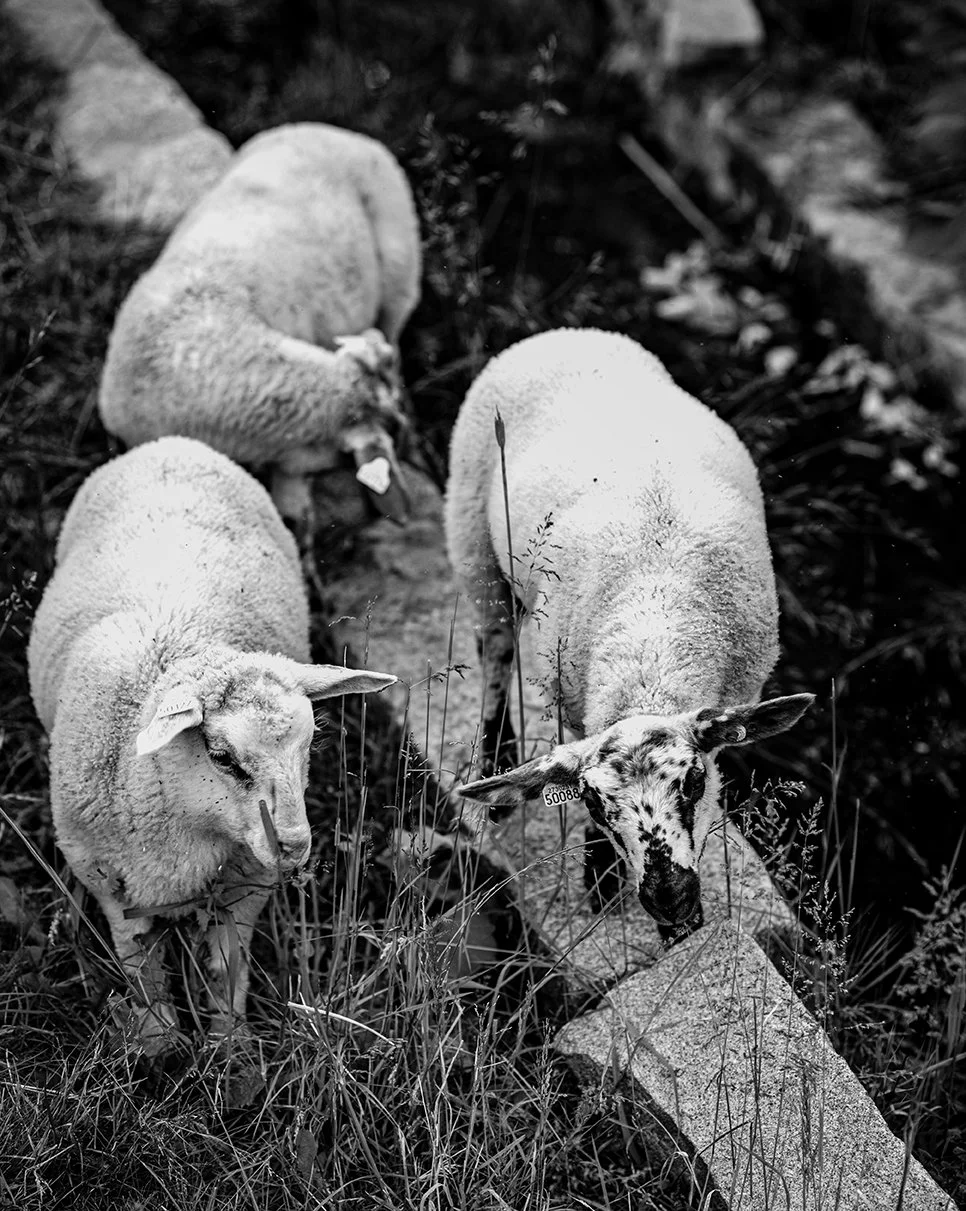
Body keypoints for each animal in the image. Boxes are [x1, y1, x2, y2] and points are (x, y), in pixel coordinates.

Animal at [27, 436, 397, 1050]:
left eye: (309, 745)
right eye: (222, 758)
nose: (294, 847)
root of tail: (172, 442)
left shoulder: (245, 885)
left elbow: (227, 970)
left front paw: (231, 1045)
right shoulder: (111, 886)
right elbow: (143, 970)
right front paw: (156, 1045)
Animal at [444, 328, 813, 939]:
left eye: (692, 782)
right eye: (595, 804)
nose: (670, 900)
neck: (653, 642)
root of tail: (563, 332)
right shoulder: (575, 707)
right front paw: (600, 881)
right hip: (474, 541)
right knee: (495, 654)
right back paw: (497, 770)